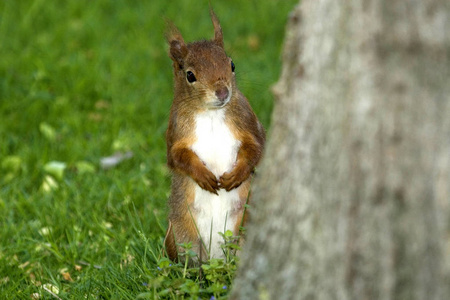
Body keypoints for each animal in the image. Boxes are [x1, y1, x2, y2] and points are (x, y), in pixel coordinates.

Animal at [163, 9, 266, 262]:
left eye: (232, 64)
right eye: (190, 75)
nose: (222, 92)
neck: (210, 113)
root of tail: (217, 258)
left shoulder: (248, 120)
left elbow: (257, 147)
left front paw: (236, 175)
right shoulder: (176, 132)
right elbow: (176, 158)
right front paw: (203, 176)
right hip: (179, 234)